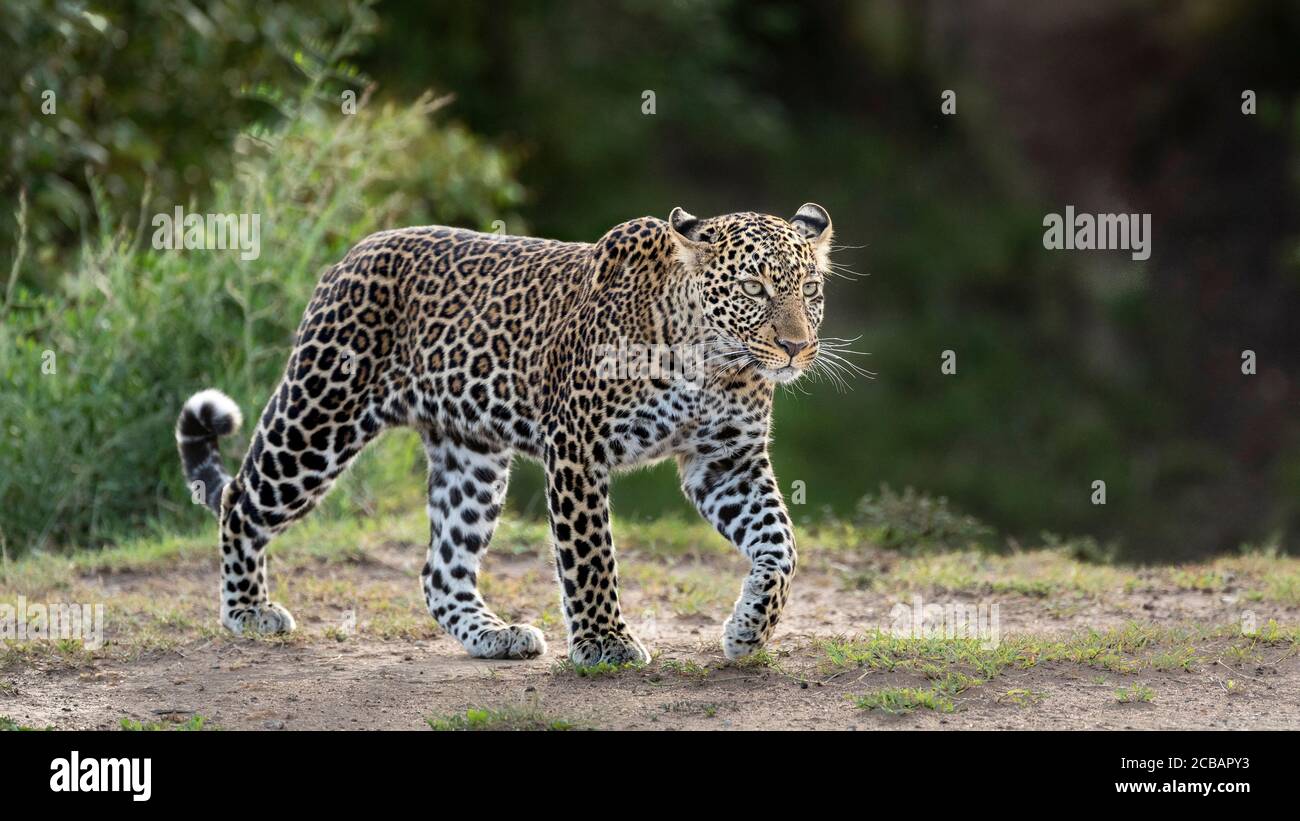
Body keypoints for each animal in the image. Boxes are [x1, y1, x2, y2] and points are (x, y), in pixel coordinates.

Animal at [175, 202, 832, 665]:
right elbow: (590, 556)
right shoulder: (577, 449)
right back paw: (248, 611)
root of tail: (352, 254)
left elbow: (782, 546)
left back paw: (493, 635)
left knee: (442, 568)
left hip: (472, 456)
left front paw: (750, 630)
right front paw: (604, 643)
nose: (796, 347)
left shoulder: (727, 462)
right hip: (318, 420)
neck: (713, 362)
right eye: (753, 289)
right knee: (240, 501)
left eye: (810, 290)